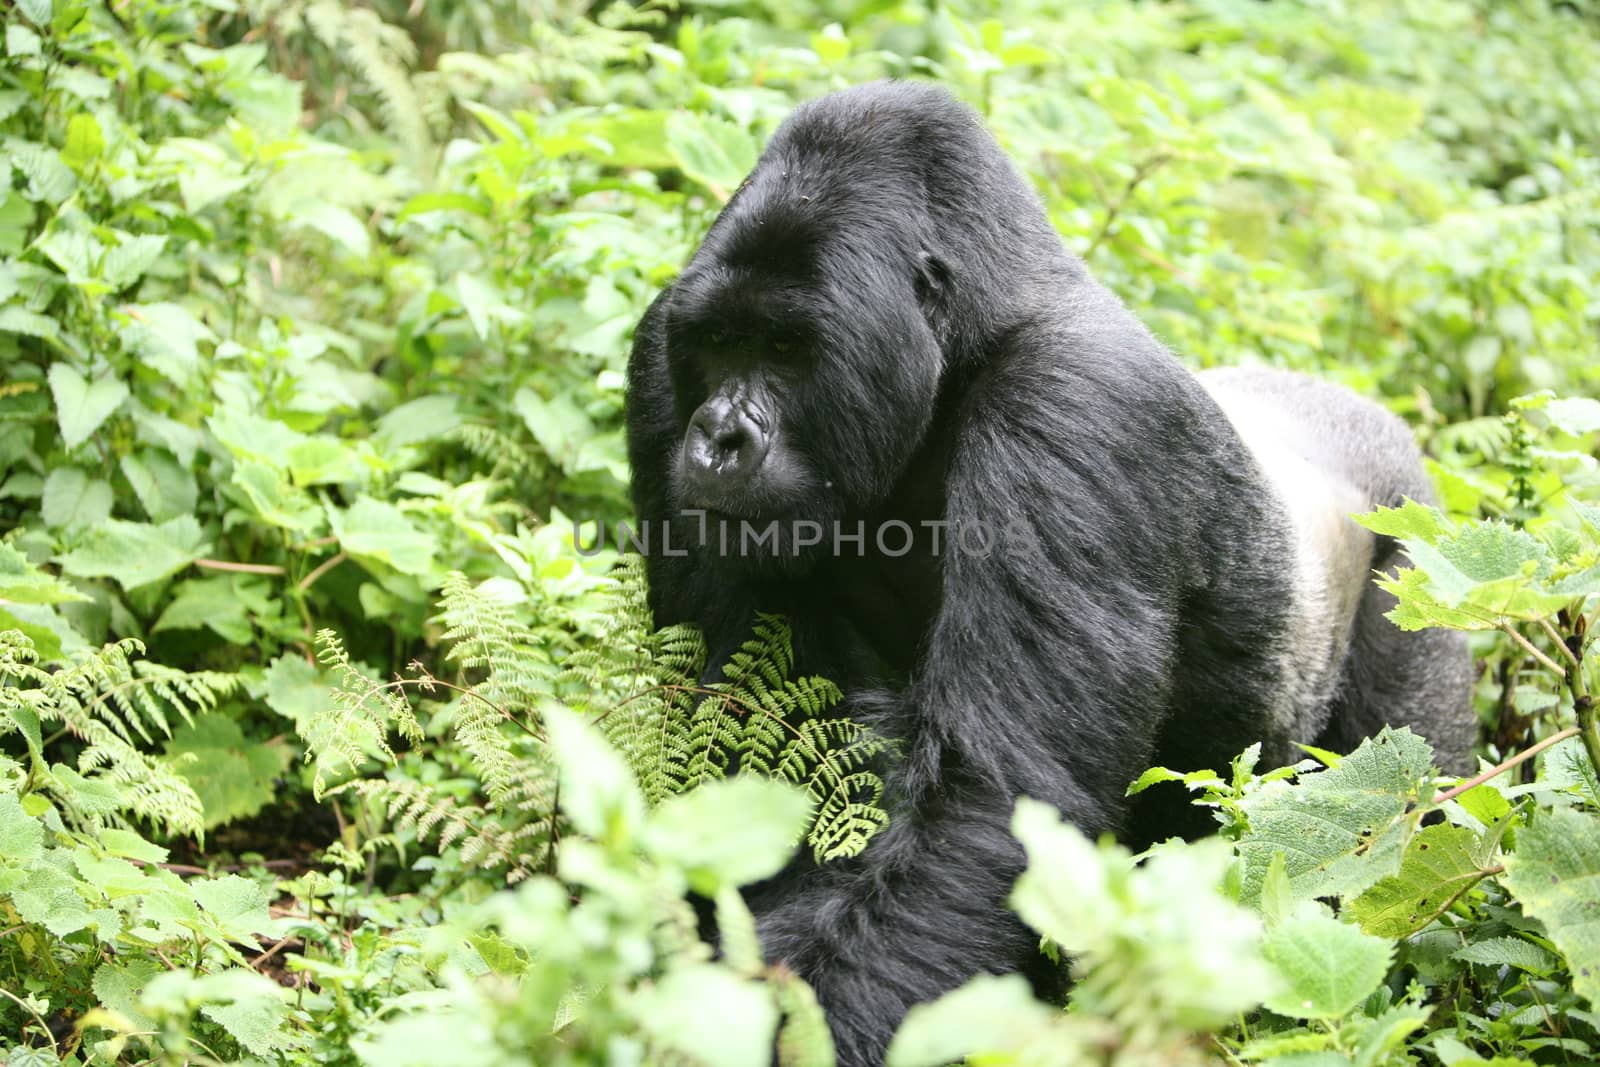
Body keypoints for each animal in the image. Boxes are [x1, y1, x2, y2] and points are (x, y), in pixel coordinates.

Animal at [624, 81, 1472, 1067]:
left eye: (787, 349)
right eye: (719, 342)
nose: (718, 437)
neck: (966, 344)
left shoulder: (1078, 407)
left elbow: (991, 810)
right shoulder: (659, 359)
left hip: (1421, 546)